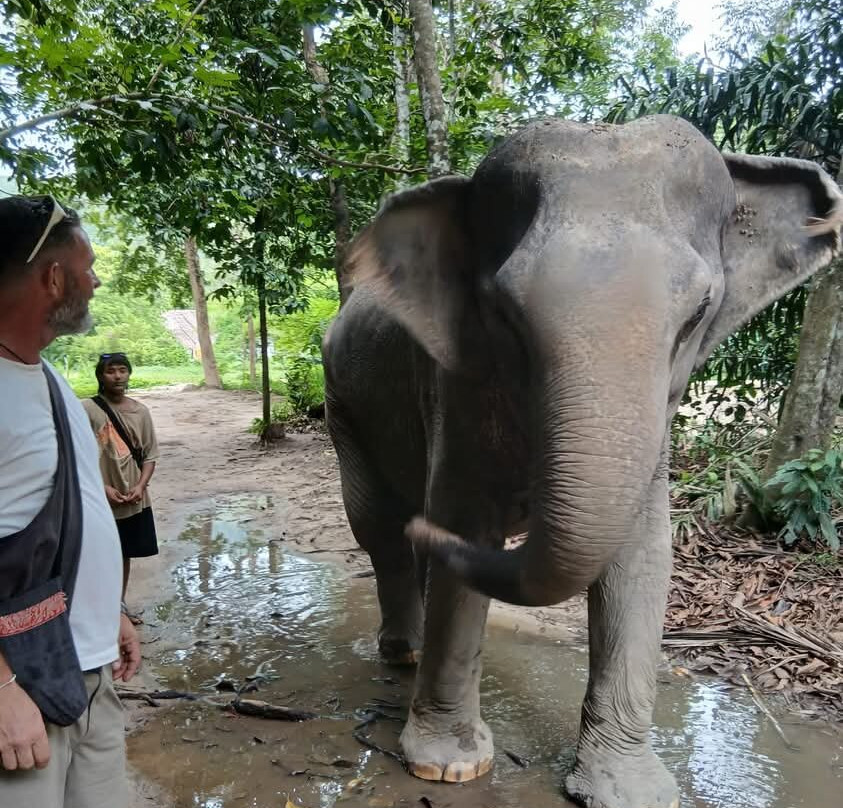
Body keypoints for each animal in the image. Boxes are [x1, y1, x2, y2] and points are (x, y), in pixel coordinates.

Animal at [321, 114, 842, 808]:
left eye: (698, 315)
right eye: (505, 313)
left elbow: (642, 555)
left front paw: (631, 790)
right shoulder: (454, 384)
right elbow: (465, 521)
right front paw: (446, 769)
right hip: (342, 403)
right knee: (378, 529)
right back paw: (402, 652)